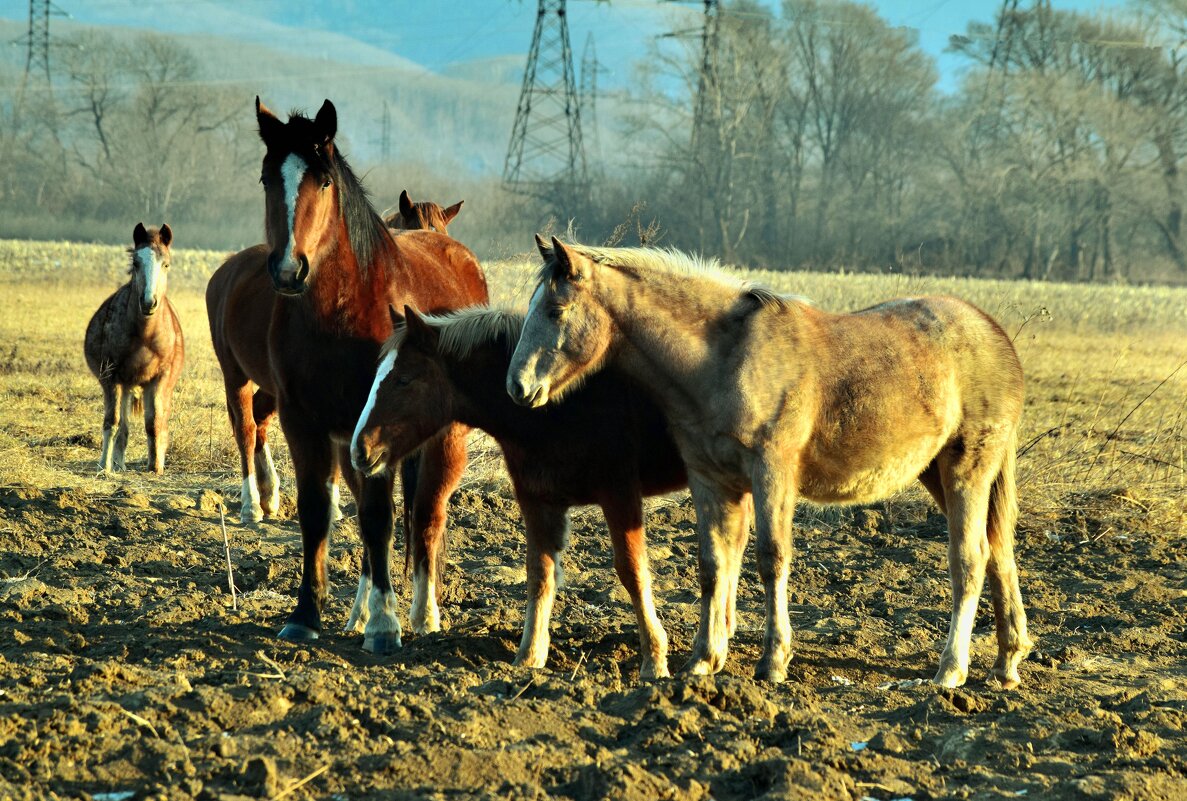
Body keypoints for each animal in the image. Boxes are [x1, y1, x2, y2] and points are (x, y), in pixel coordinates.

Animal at [86, 224, 185, 477]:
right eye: (136, 263)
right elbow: (113, 422)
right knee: (122, 424)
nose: (149, 302)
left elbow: (154, 423)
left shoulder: (160, 379)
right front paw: (104, 466)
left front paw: (155, 466)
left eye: (166, 264)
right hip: (125, 384)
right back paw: (118, 463)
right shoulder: (111, 377)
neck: (144, 335)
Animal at [204, 193, 462, 526]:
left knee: (259, 418)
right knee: (245, 428)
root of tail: (226, 270)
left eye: (442, 233)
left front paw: (335, 506)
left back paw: (270, 494)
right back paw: (251, 504)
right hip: (234, 373)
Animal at [254, 100, 486, 650]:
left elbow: (383, 519)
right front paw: (306, 614)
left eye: (323, 181)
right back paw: (359, 612)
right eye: (268, 178)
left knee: (427, 517)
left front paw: (385, 624)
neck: (338, 309)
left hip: (446, 443)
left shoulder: (378, 423)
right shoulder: (305, 423)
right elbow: (318, 512)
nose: (288, 270)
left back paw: (424, 614)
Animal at [346, 306, 750, 678]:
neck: (557, 405)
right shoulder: (538, 500)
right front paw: (529, 656)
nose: (359, 451)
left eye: (403, 380)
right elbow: (539, 573)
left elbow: (632, 572)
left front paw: (654, 658)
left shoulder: (619, 495)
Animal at [505, 238, 1035, 688]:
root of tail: (996, 335)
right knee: (998, 554)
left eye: (555, 309)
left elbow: (770, 559)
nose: (517, 387)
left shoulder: (772, 472)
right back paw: (1007, 661)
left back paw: (951, 670)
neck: (722, 360)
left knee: (969, 560)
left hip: (967, 469)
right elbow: (713, 564)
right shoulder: (710, 479)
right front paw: (702, 660)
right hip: (939, 475)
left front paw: (773, 660)